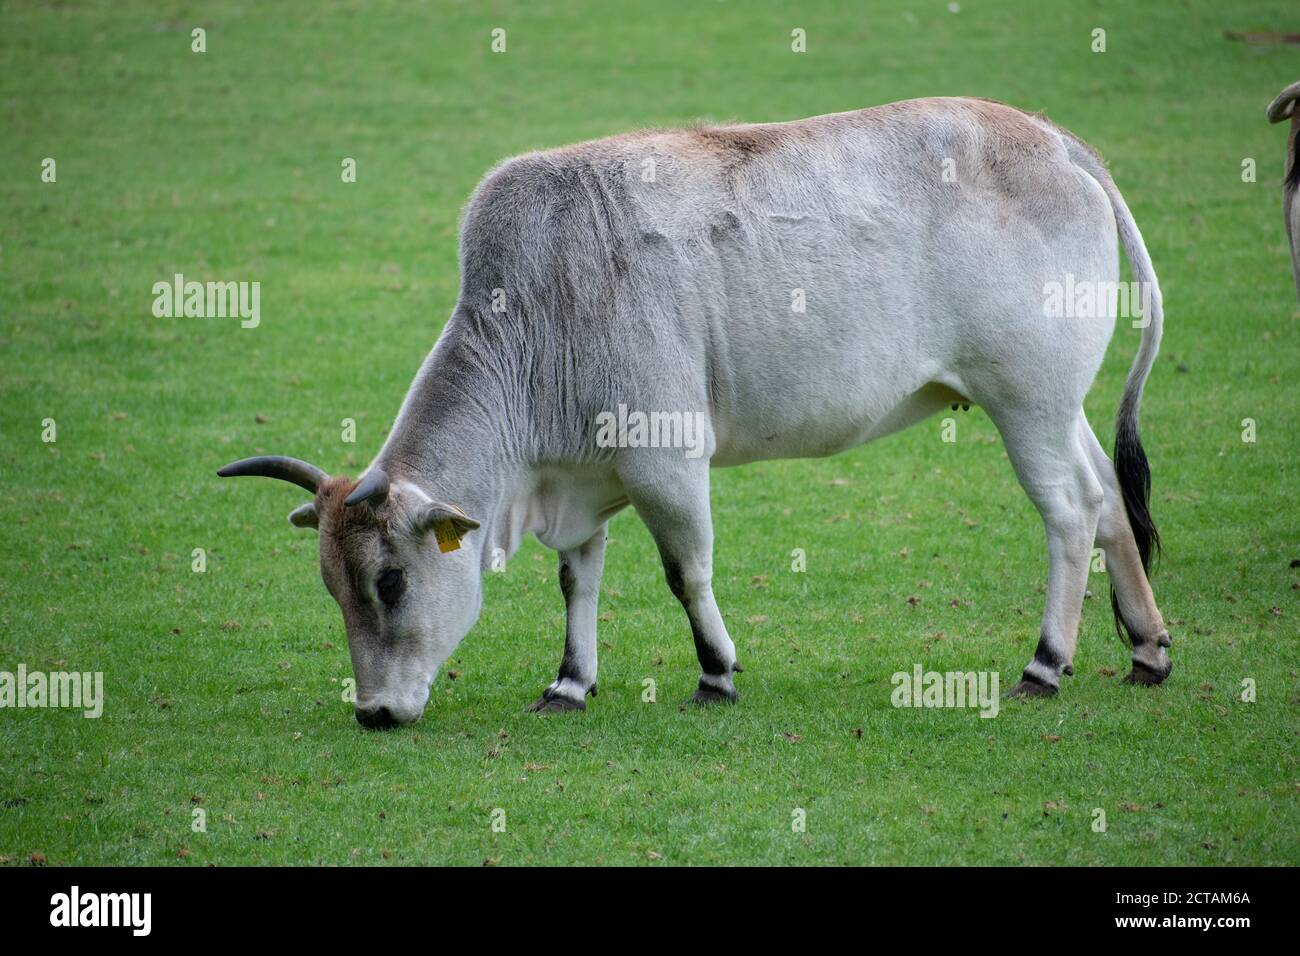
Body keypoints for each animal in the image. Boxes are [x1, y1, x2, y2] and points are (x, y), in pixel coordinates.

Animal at [218, 97, 1175, 728]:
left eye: (389, 582)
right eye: (331, 585)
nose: (374, 712)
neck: (540, 312)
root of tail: (1055, 140)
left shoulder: (665, 462)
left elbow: (687, 572)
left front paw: (716, 674)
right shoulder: (584, 475)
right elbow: (579, 578)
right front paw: (570, 682)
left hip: (1027, 403)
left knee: (1070, 511)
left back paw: (1046, 664)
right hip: (1059, 406)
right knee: (1109, 502)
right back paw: (1146, 647)